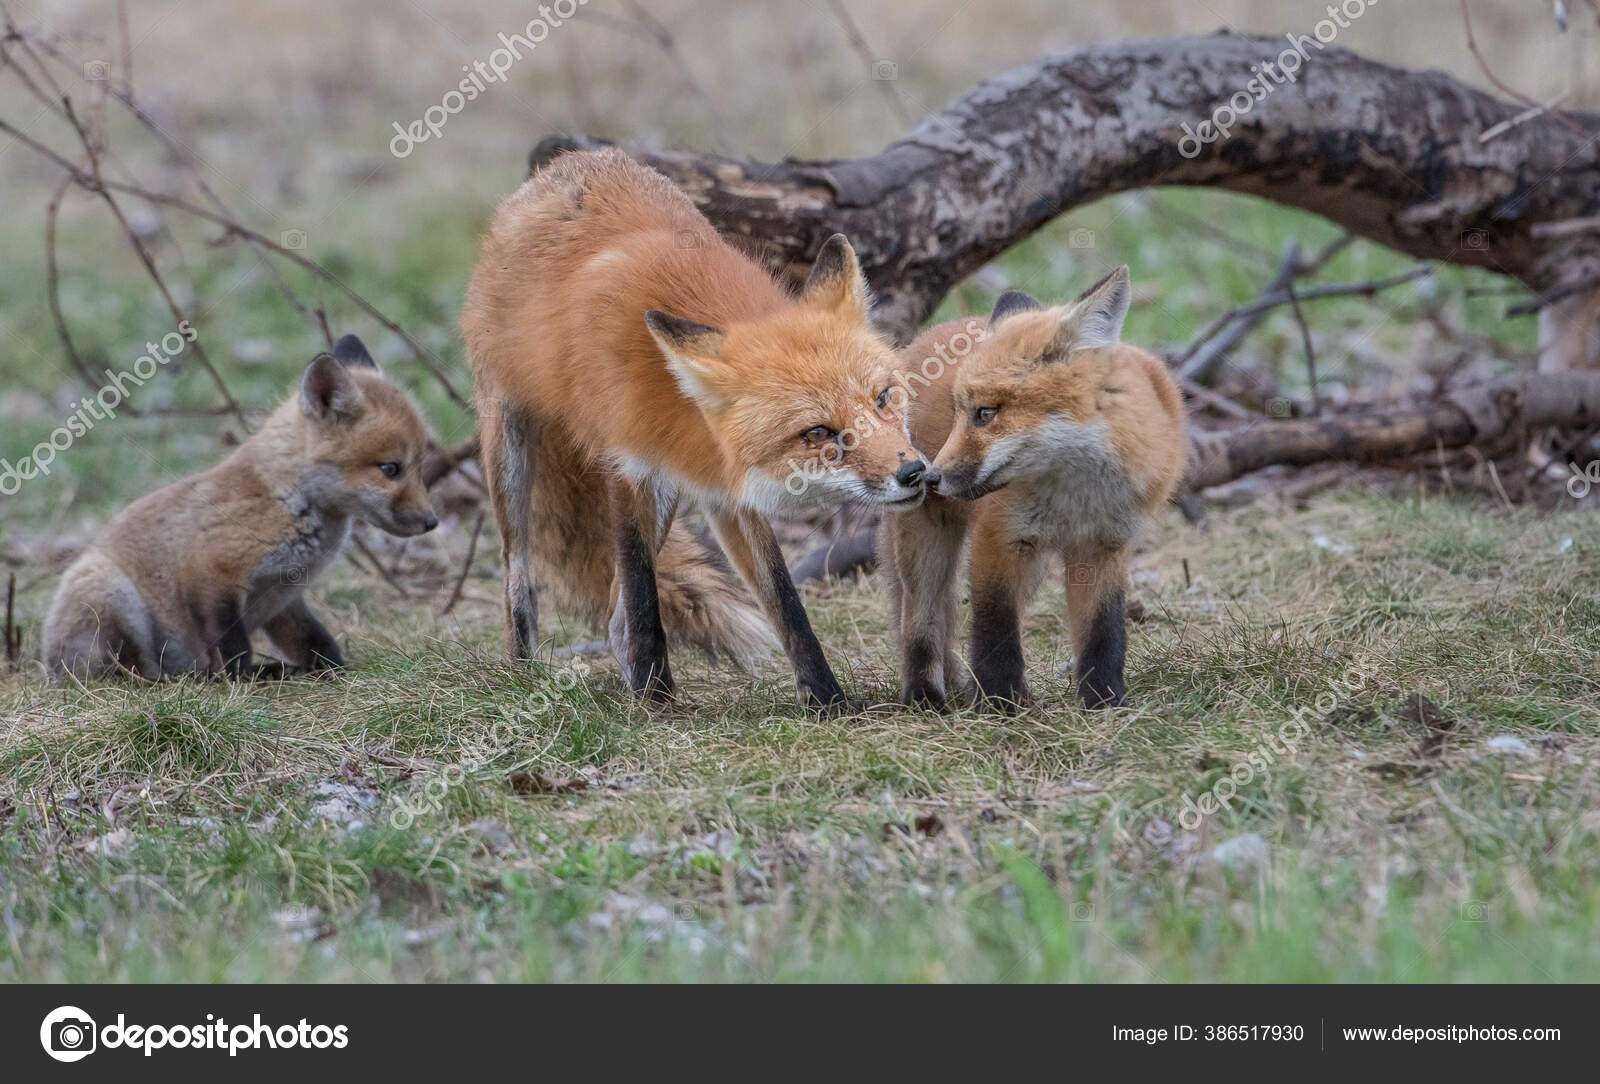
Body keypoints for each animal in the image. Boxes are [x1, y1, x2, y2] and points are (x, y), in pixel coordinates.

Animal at [42, 335, 438, 681]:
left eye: (420, 466)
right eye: (390, 469)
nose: (432, 522)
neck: (288, 499)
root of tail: (50, 667)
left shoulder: (283, 594)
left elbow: (315, 640)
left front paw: (334, 671)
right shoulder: (212, 571)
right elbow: (234, 648)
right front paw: (240, 682)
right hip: (112, 594)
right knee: (132, 674)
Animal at [461, 148, 932, 710]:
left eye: (883, 398)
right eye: (818, 433)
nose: (914, 473)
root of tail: (568, 163)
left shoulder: (726, 487)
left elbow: (783, 600)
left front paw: (826, 701)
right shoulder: (626, 465)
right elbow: (643, 597)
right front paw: (656, 702)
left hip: (670, 491)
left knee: (614, 612)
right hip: (509, 444)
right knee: (521, 576)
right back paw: (526, 675)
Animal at [880, 267, 1185, 710]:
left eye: (985, 414)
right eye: (960, 414)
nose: (930, 476)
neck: (1075, 492)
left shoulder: (1105, 545)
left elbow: (1104, 632)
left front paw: (1104, 702)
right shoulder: (998, 537)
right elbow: (995, 629)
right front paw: (1000, 703)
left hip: (1033, 567)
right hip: (926, 549)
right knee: (919, 622)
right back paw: (924, 697)